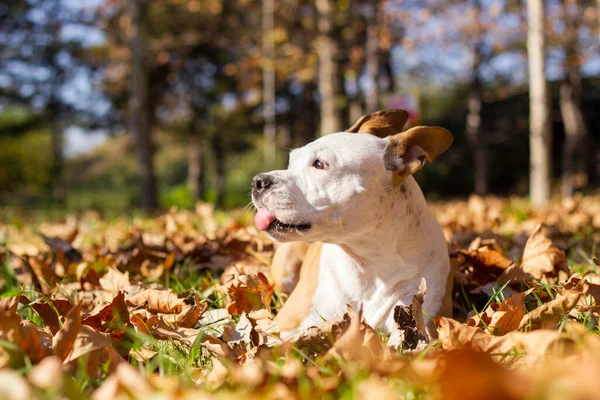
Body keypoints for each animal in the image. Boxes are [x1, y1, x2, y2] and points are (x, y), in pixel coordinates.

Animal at [251, 109, 452, 338]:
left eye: (319, 164)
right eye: (291, 162)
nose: (258, 181)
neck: (369, 260)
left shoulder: (422, 319)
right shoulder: (286, 325)